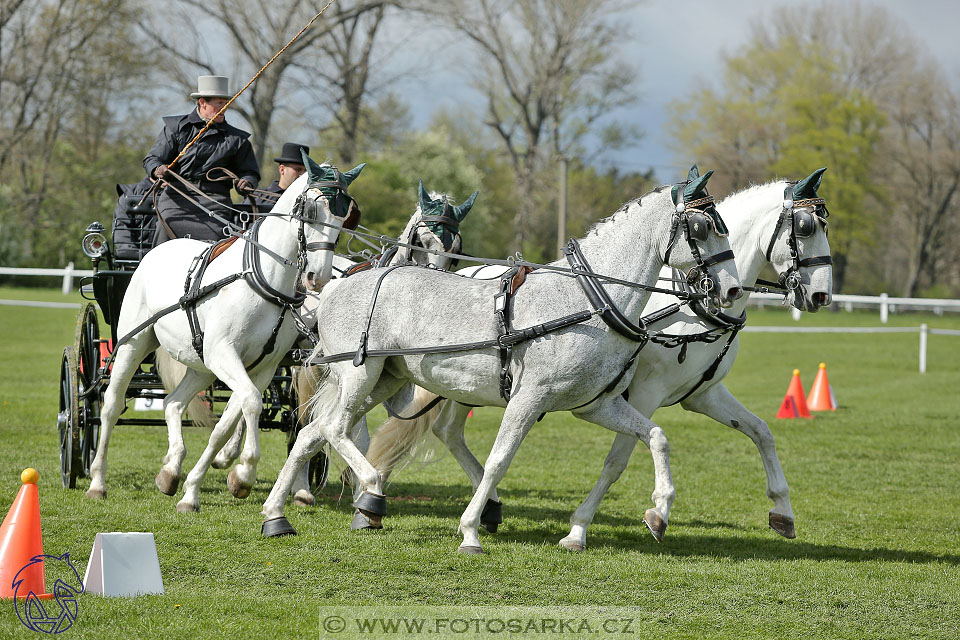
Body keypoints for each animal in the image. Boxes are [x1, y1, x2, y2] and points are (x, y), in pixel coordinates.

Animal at [86, 158, 366, 512]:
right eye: (311, 210)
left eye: (345, 217)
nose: (318, 277)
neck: (262, 280)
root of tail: (160, 247)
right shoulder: (225, 354)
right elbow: (250, 404)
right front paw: (242, 472)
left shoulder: (260, 368)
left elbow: (228, 422)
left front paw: (205, 485)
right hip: (134, 343)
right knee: (110, 404)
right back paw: (97, 481)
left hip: (201, 364)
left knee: (174, 404)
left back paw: (170, 471)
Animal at [260, 170, 744, 556]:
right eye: (702, 227)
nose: (734, 291)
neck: (586, 301)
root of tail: (335, 284)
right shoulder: (529, 399)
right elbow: (497, 461)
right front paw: (471, 532)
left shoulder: (596, 405)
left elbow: (657, 437)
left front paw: (659, 511)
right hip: (360, 374)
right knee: (336, 430)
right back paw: (371, 495)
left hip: (382, 379)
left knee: (312, 434)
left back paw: (276, 516)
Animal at [368, 168, 832, 548]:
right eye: (805, 226)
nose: (821, 296)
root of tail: (462, 271)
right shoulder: (643, 394)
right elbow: (616, 461)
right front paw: (590, 527)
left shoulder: (704, 394)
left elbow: (761, 432)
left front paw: (782, 511)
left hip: (464, 388)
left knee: (447, 432)